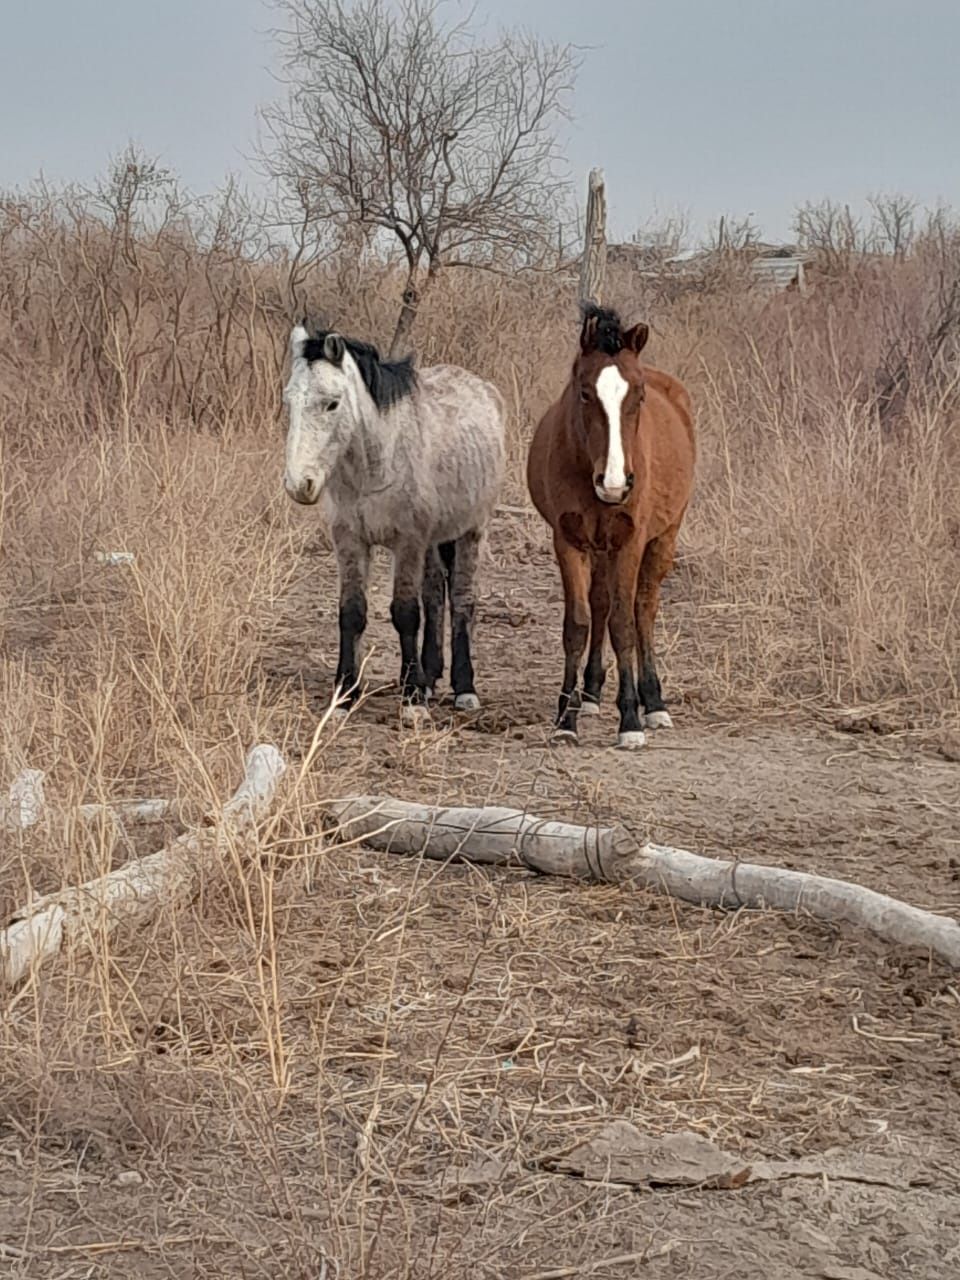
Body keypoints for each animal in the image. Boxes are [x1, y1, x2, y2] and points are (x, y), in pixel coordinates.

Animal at [281, 325, 506, 721]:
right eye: (288, 402)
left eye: (332, 403)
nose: (299, 484)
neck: (378, 461)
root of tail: (481, 388)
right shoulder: (350, 541)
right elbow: (352, 612)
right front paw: (345, 694)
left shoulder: (408, 542)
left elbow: (405, 613)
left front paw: (412, 701)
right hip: (435, 542)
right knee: (435, 597)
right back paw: (429, 677)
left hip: (471, 532)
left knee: (461, 599)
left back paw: (463, 688)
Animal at [529, 305, 696, 747]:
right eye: (585, 392)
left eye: (638, 395)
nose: (615, 483)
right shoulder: (569, 541)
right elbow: (579, 623)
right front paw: (565, 720)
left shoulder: (630, 542)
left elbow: (624, 623)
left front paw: (631, 720)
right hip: (599, 547)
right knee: (601, 602)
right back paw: (589, 694)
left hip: (663, 538)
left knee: (643, 609)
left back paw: (653, 702)